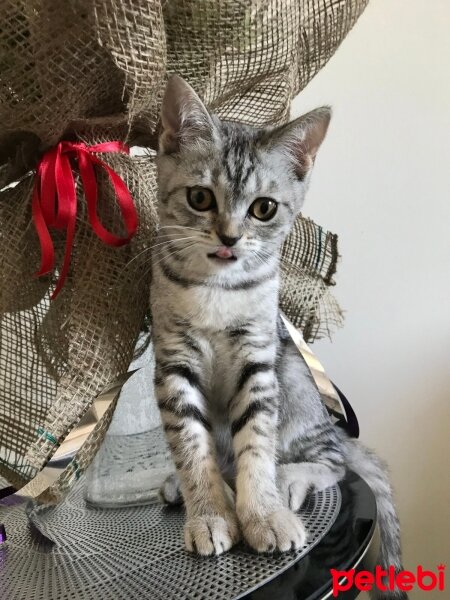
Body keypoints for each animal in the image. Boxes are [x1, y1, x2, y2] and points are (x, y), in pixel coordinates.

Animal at [151, 77, 404, 596]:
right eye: (200, 198)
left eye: (263, 208)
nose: (229, 237)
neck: (216, 289)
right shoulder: (173, 365)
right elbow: (191, 447)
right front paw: (208, 514)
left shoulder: (259, 361)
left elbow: (256, 444)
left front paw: (263, 514)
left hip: (295, 383)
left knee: (334, 460)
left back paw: (286, 479)